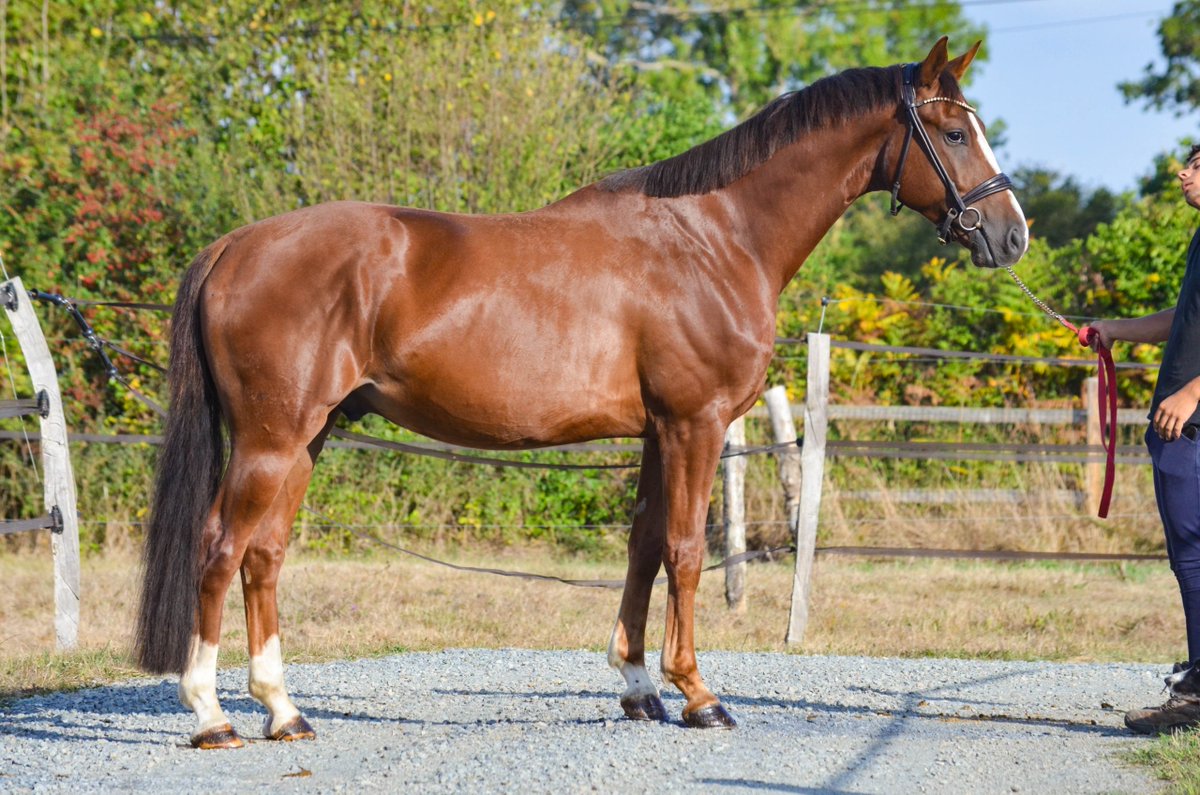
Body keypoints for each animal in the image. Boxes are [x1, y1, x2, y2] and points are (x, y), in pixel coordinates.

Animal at [135, 37, 1028, 748]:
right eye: (954, 132)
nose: (1010, 234)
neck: (716, 236)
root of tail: (234, 246)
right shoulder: (695, 424)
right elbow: (687, 549)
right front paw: (698, 695)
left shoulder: (657, 431)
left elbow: (643, 546)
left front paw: (638, 689)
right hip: (271, 438)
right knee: (221, 549)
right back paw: (211, 714)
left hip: (305, 437)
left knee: (265, 554)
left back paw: (284, 710)